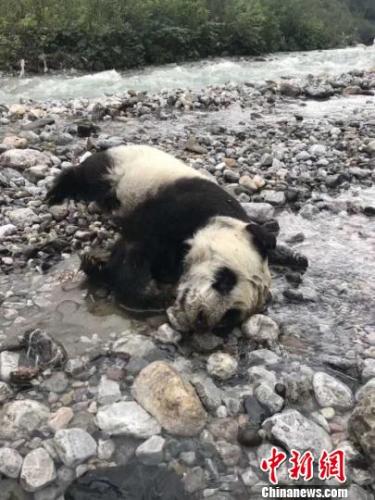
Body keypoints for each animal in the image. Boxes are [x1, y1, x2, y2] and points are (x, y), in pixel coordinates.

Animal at [47, 144, 276, 332]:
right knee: (87, 175)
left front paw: (97, 264)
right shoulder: (181, 207)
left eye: (231, 314)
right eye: (225, 280)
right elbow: (134, 249)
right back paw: (57, 191)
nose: (202, 319)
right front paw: (150, 292)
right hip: (121, 167)